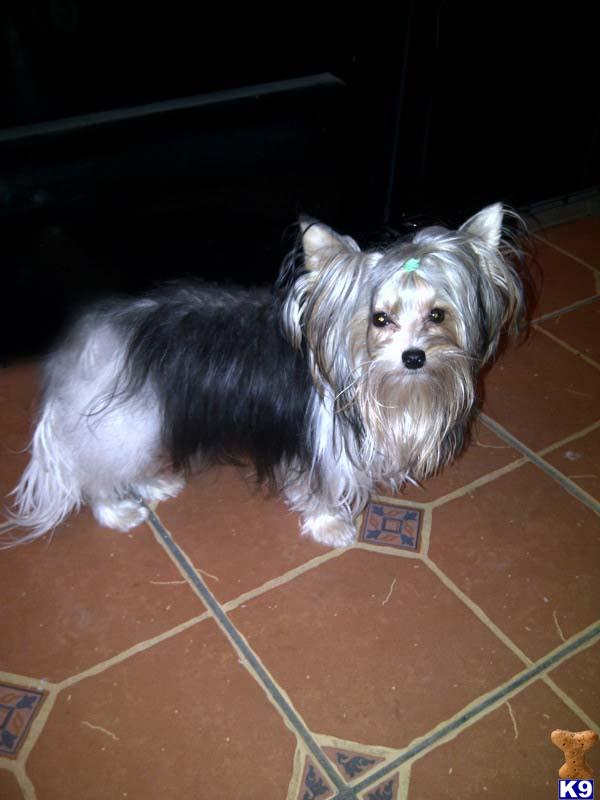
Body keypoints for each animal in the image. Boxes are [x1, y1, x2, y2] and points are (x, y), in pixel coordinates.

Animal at [8, 203, 524, 548]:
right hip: (121, 422)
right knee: (94, 475)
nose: (414, 357)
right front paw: (330, 525)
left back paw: (154, 483)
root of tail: (86, 343)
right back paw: (118, 510)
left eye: (438, 315)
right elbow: (322, 489)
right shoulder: (322, 451)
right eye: (380, 319)